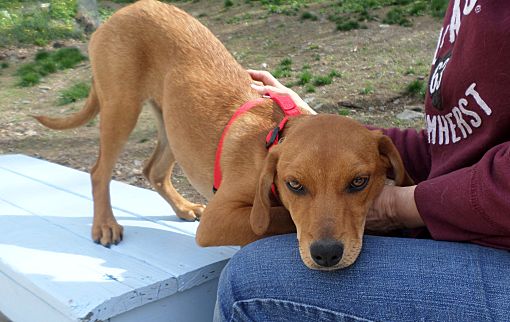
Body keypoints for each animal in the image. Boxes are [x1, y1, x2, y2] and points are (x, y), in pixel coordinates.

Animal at [33, 0, 412, 270]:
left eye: (359, 182)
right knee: (99, 170)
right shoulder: (219, 220)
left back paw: (183, 207)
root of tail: (122, 11)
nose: (327, 254)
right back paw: (105, 225)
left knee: (153, 170)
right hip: (120, 107)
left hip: (173, 125)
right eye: (294, 185)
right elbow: (276, 217)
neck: (270, 140)